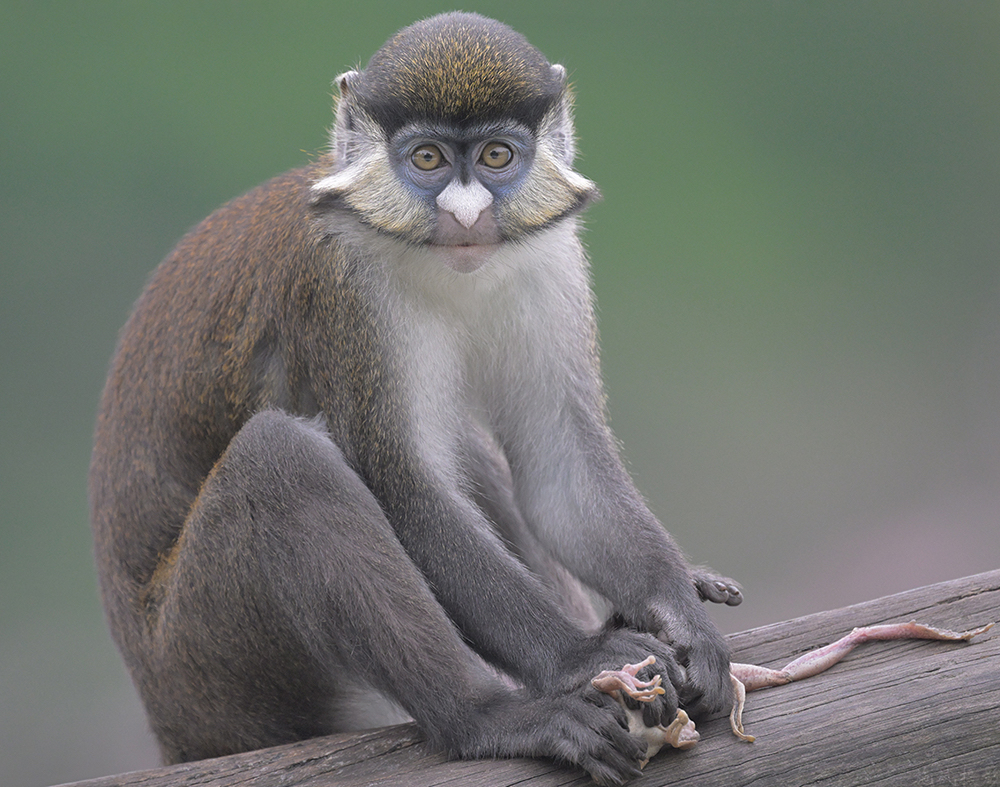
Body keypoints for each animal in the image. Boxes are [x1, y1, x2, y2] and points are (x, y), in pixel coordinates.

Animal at [88, 12, 744, 787]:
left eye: (496, 156)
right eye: (427, 159)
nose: (466, 213)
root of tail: (170, 725)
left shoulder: (551, 264)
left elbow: (561, 468)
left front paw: (678, 616)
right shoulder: (342, 289)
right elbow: (404, 485)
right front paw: (581, 658)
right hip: (209, 663)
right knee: (281, 463)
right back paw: (488, 716)